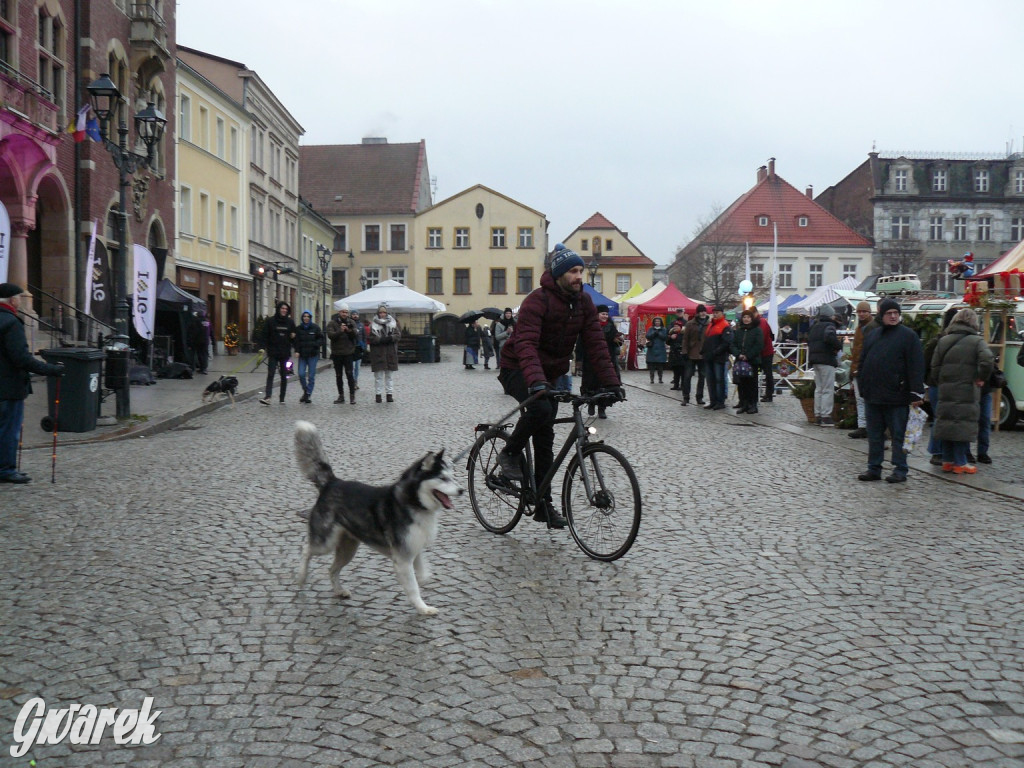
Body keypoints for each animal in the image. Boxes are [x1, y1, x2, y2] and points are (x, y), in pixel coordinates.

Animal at [294, 423, 466, 618]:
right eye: (443, 478)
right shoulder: (402, 557)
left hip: (348, 549)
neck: (413, 502)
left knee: (332, 569)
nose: (461, 490)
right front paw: (423, 607)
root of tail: (332, 482)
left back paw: (339, 590)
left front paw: (423, 579)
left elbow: (422, 571)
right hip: (325, 543)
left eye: (452, 477)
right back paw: (301, 577)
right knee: (306, 549)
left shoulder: (413, 548)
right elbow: (413, 587)